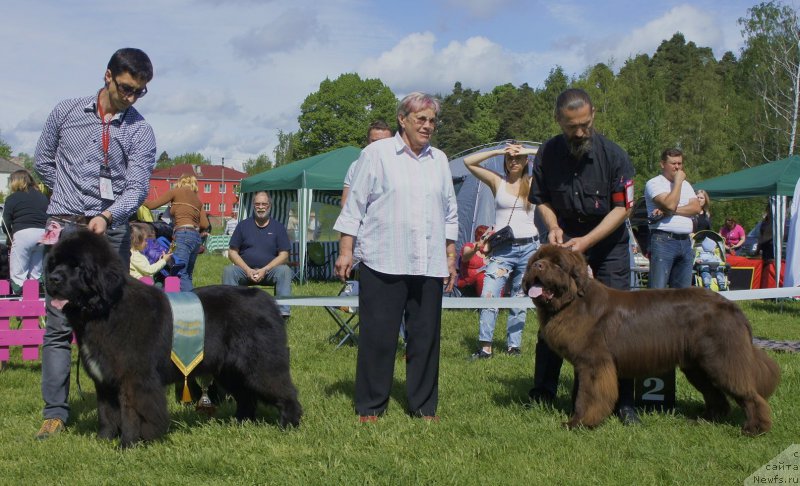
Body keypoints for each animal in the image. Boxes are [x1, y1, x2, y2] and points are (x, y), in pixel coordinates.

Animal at [47, 231, 304, 448]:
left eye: (77, 266)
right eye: (54, 263)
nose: (53, 279)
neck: (106, 309)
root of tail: (266, 299)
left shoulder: (134, 378)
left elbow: (132, 413)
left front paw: (128, 444)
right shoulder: (105, 381)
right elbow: (107, 413)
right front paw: (103, 441)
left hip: (260, 364)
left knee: (283, 390)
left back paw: (289, 424)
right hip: (230, 370)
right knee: (246, 396)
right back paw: (241, 422)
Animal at [520, 245, 780, 434]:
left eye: (557, 264)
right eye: (536, 260)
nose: (538, 266)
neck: (573, 301)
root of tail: (732, 307)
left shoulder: (594, 363)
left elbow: (589, 395)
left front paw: (579, 423)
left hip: (721, 359)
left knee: (748, 393)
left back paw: (755, 428)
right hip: (697, 366)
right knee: (717, 396)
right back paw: (703, 420)